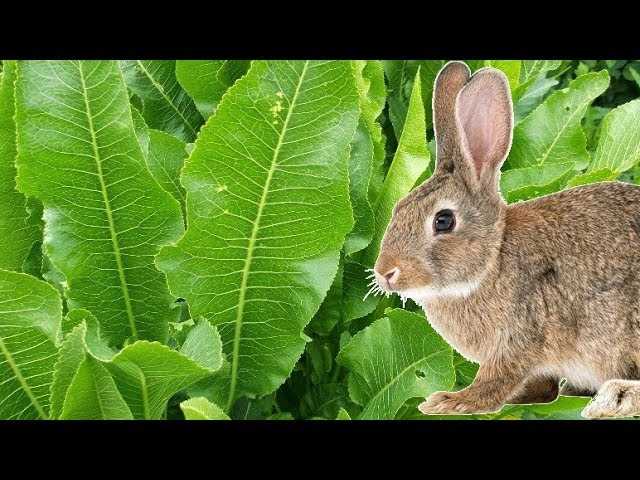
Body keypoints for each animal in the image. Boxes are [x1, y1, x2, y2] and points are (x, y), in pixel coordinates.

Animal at [370, 61, 640, 420]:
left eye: (443, 220)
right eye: (398, 208)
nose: (385, 272)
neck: (491, 263)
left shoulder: (519, 337)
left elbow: (496, 380)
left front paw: (450, 401)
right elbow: (539, 386)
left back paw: (614, 399)